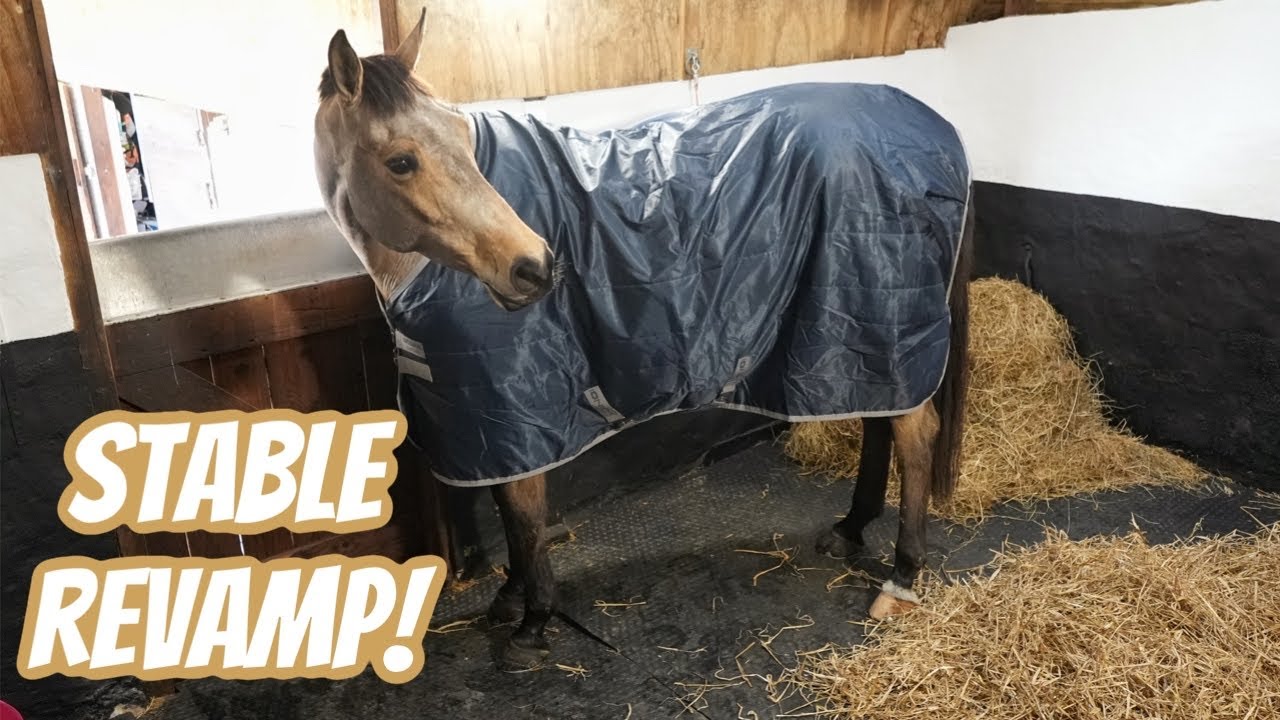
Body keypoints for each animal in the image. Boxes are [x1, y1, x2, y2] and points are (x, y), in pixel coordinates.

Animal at [314, 13, 972, 672]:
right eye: (402, 161)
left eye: (460, 134)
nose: (534, 267)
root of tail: (937, 131)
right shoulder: (494, 425)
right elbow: (506, 509)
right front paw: (511, 599)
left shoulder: (518, 411)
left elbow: (523, 516)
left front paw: (533, 621)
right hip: (860, 343)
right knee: (881, 422)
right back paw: (851, 528)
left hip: (879, 322)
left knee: (915, 436)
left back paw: (902, 577)